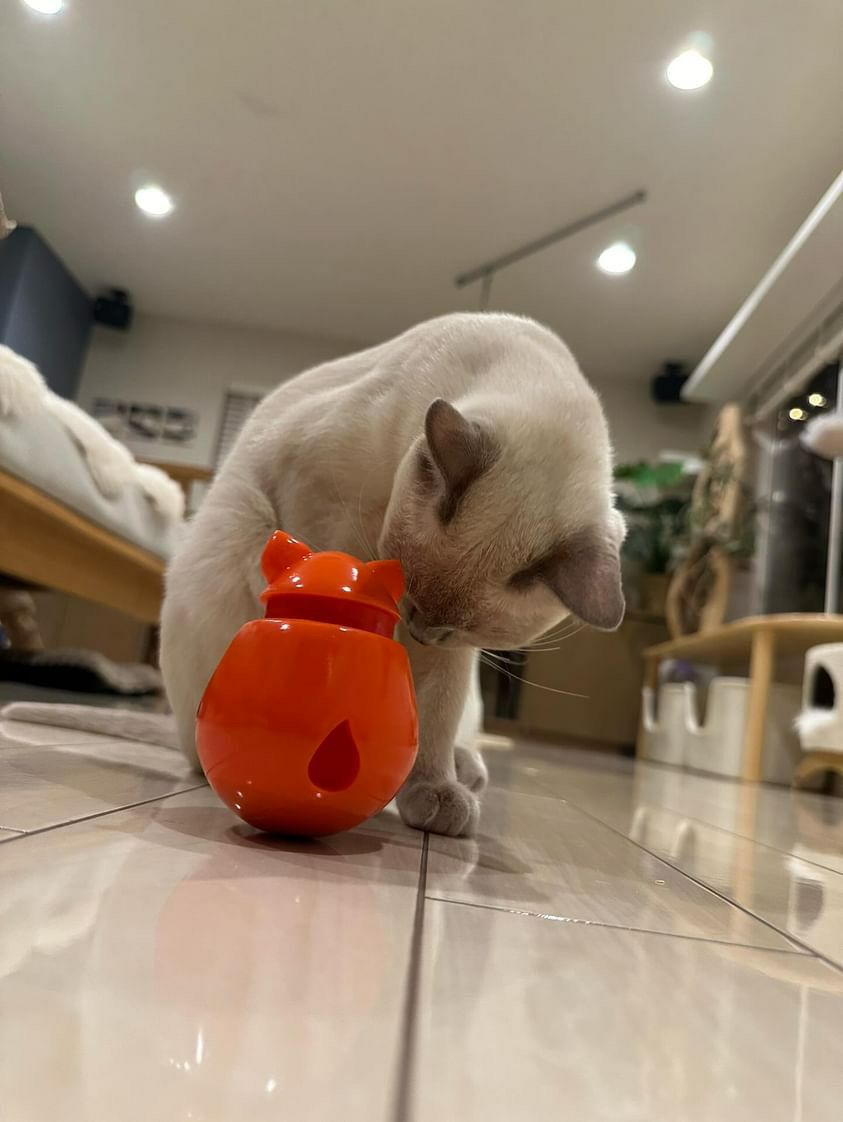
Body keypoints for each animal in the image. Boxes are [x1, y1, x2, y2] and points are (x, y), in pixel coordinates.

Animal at [3, 313, 624, 837]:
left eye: (452, 631)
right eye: (409, 598)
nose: (416, 633)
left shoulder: (452, 659)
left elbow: (435, 717)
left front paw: (433, 793)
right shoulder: (321, 502)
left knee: (459, 737)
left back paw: (464, 770)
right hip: (236, 532)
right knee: (195, 752)